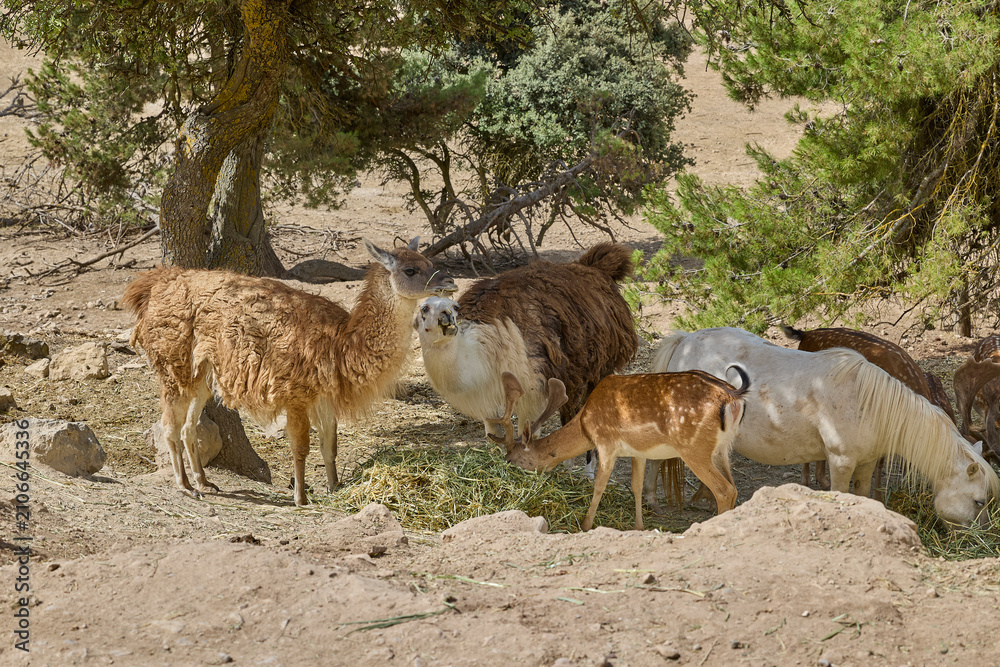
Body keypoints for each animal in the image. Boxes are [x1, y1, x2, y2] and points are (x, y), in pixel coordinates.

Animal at [122, 237, 456, 506]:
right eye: (410, 270)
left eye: (429, 262)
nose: (451, 280)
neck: (340, 343)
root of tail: (158, 282)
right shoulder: (295, 393)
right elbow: (301, 448)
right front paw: (301, 497)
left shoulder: (323, 396)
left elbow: (329, 446)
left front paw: (334, 486)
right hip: (172, 363)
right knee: (170, 426)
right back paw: (185, 485)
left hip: (201, 371)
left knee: (189, 427)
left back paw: (204, 481)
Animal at [494, 366, 749, 531]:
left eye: (514, 458)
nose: (505, 463)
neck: (585, 424)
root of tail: (733, 397)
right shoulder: (638, 452)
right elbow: (636, 486)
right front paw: (638, 526)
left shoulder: (606, 443)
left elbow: (599, 485)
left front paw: (585, 525)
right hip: (722, 449)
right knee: (734, 488)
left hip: (694, 448)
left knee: (724, 489)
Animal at [651, 327, 999, 528]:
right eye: (979, 501)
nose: (980, 534)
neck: (871, 403)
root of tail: (684, 341)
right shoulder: (841, 462)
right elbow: (841, 494)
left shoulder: (867, 463)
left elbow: (864, 495)